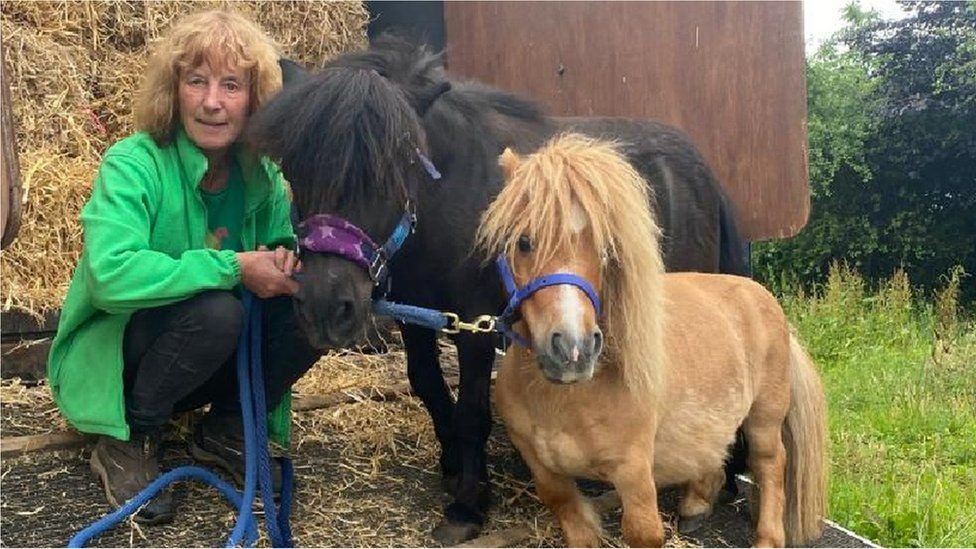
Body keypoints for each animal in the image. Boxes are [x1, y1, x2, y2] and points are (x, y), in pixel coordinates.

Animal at [250, 35, 748, 544]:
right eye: (294, 170)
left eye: (393, 171)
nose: (326, 308)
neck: (453, 198)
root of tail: (704, 175)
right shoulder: (418, 316)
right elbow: (427, 384)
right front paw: (453, 468)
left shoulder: (475, 324)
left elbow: (472, 410)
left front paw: (468, 505)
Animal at [476, 134, 828, 548]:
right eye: (524, 241)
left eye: (606, 248)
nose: (573, 350)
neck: (567, 398)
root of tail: (761, 296)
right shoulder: (546, 473)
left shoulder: (634, 473)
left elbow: (644, 531)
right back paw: (696, 504)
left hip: (764, 420)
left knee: (770, 464)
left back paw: (767, 538)